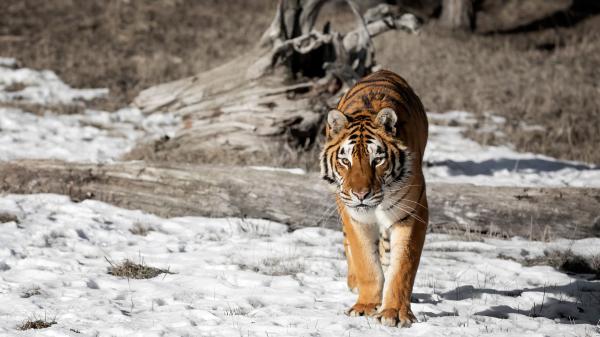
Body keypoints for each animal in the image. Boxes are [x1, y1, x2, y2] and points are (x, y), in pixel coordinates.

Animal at [318, 69, 426, 326]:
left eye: (377, 160)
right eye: (345, 160)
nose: (360, 195)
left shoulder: (412, 212)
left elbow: (403, 266)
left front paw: (394, 312)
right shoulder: (355, 217)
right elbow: (366, 261)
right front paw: (365, 306)